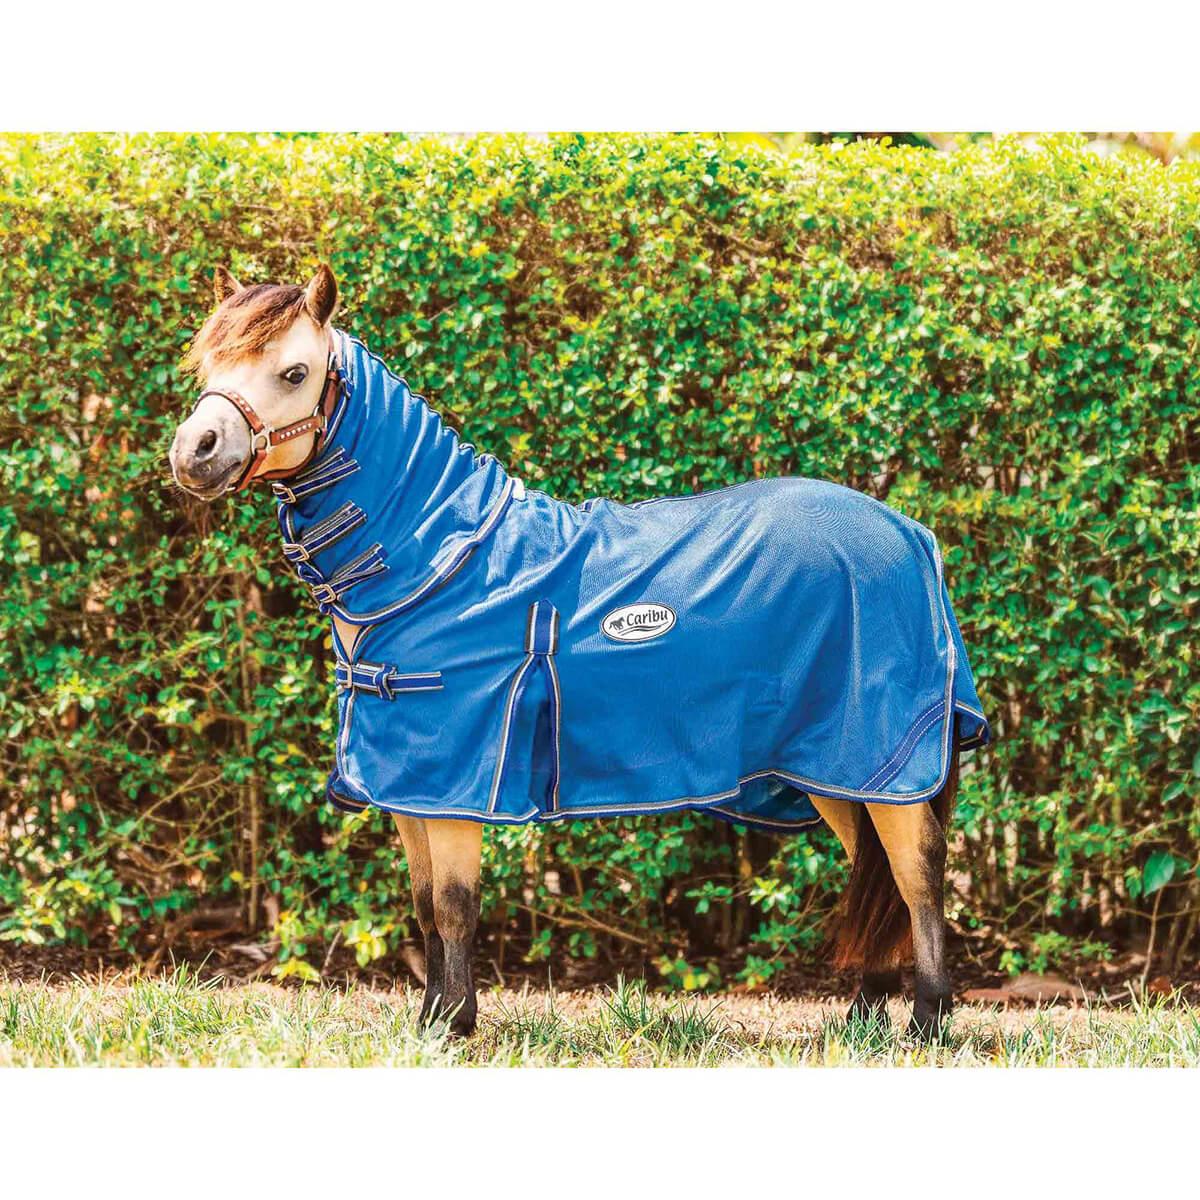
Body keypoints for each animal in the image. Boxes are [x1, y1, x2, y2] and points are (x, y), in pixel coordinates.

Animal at [169, 264, 989, 1041]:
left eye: (294, 372)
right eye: (207, 362)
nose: (194, 451)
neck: (442, 562)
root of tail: (911, 534)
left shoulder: (457, 783)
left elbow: (456, 908)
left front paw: (456, 1026)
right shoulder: (409, 788)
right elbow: (426, 907)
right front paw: (433, 1020)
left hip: (882, 757)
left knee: (917, 875)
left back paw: (926, 1020)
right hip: (838, 770)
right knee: (877, 870)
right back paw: (862, 1017)